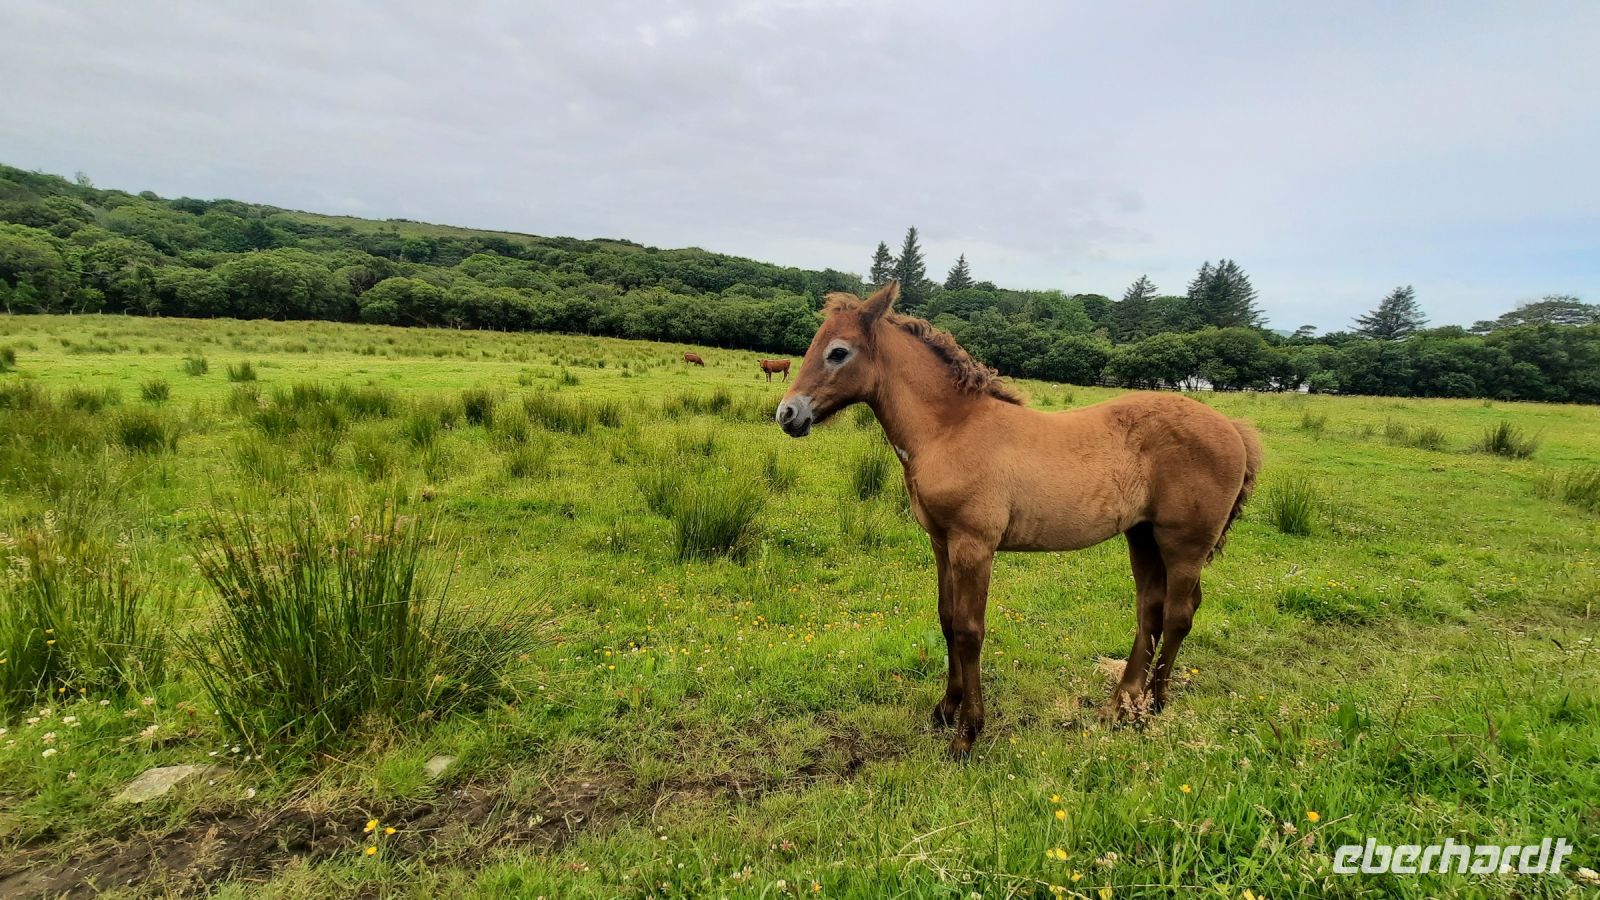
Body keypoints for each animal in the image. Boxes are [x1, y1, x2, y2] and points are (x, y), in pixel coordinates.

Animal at [775, 281, 1262, 758]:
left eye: (838, 352)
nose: (788, 414)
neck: (951, 429)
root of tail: (1235, 429)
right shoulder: (941, 542)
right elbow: (947, 621)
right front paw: (945, 710)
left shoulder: (975, 545)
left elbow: (969, 631)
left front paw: (967, 733)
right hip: (1142, 537)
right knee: (1151, 612)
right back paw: (1120, 706)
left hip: (1184, 545)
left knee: (1179, 614)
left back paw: (1154, 705)